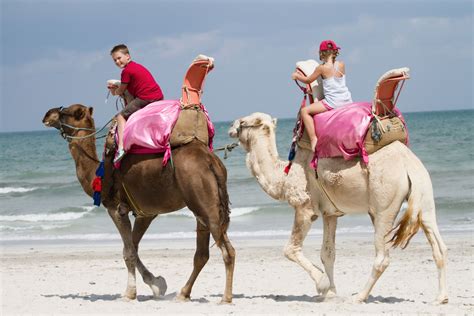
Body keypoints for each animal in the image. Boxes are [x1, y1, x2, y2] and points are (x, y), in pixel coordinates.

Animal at [42, 103, 235, 304]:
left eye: (68, 112)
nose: (47, 115)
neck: (97, 173)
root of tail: (211, 161)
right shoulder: (145, 213)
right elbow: (132, 248)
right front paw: (157, 284)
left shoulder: (116, 208)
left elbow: (128, 252)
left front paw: (130, 293)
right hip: (202, 205)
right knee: (202, 254)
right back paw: (183, 294)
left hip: (204, 203)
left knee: (227, 250)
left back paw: (225, 298)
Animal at [230, 111, 448, 304]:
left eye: (243, 122)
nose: (230, 128)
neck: (285, 175)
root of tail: (408, 165)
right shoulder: (330, 214)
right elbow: (327, 254)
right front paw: (331, 293)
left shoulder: (305, 208)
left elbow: (290, 249)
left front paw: (322, 285)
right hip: (424, 196)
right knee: (438, 246)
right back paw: (441, 298)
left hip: (384, 203)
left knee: (382, 257)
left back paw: (359, 297)